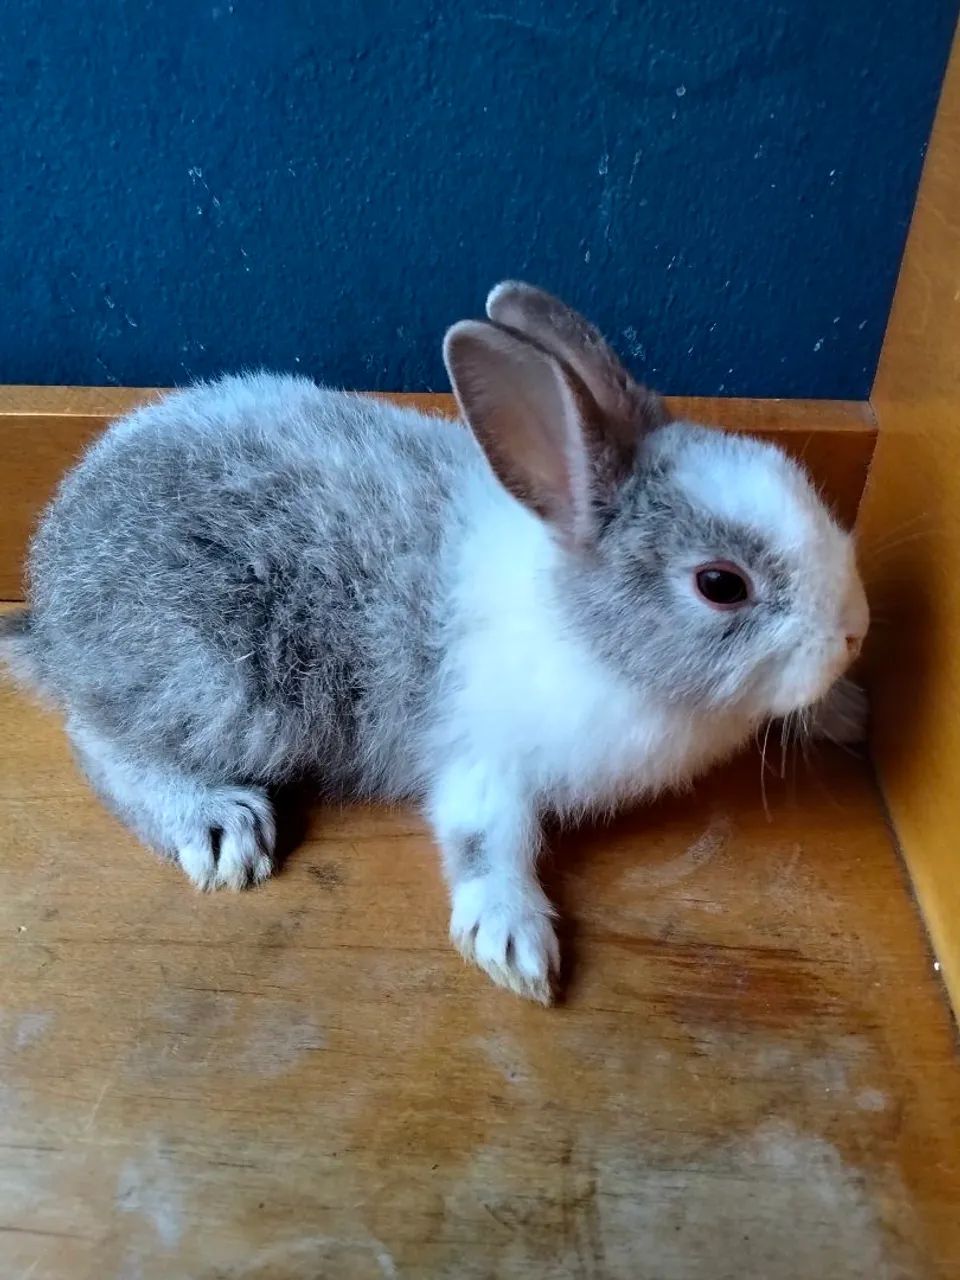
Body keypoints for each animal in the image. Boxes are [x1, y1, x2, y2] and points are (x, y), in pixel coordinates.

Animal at [0, 281, 868, 1004]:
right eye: (721, 585)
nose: (854, 630)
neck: (584, 624)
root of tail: (50, 606)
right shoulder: (485, 762)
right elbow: (486, 842)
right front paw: (516, 947)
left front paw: (851, 710)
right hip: (230, 689)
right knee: (100, 741)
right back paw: (217, 827)